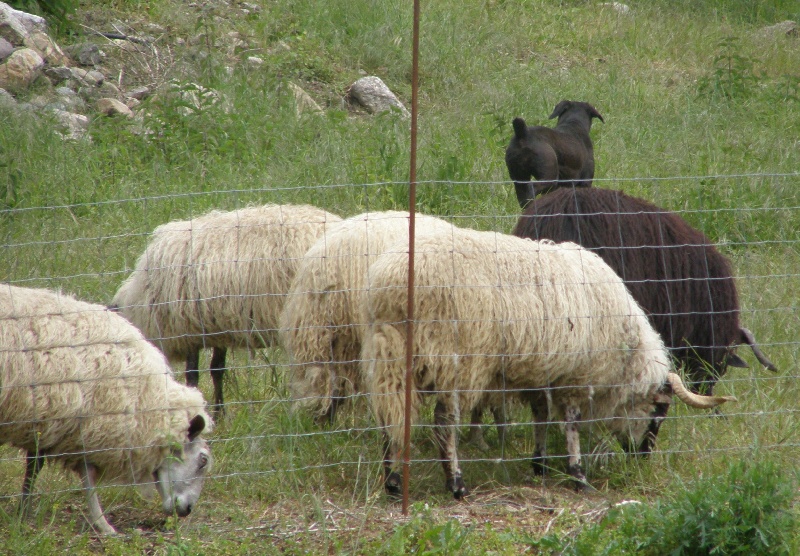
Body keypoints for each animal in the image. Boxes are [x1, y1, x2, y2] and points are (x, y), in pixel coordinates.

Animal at [0, 284, 212, 536]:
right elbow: (41, 468)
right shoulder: (59, 419)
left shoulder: (73, 428)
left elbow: (82, 474)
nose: (187, 510)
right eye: (203, 460)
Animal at [360, 228, 736, 498]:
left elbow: (540, 413)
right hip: (458, 361)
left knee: (391, 414)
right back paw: (456, 483)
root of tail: (391, 283)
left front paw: (539, 463)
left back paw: (392, 480)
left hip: (390, 353)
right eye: (659, 411)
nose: (642, 457)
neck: (623, 351)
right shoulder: (576, 377)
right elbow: (570, 424)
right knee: (444, 422)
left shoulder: (542, 372)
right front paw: (578, 475)